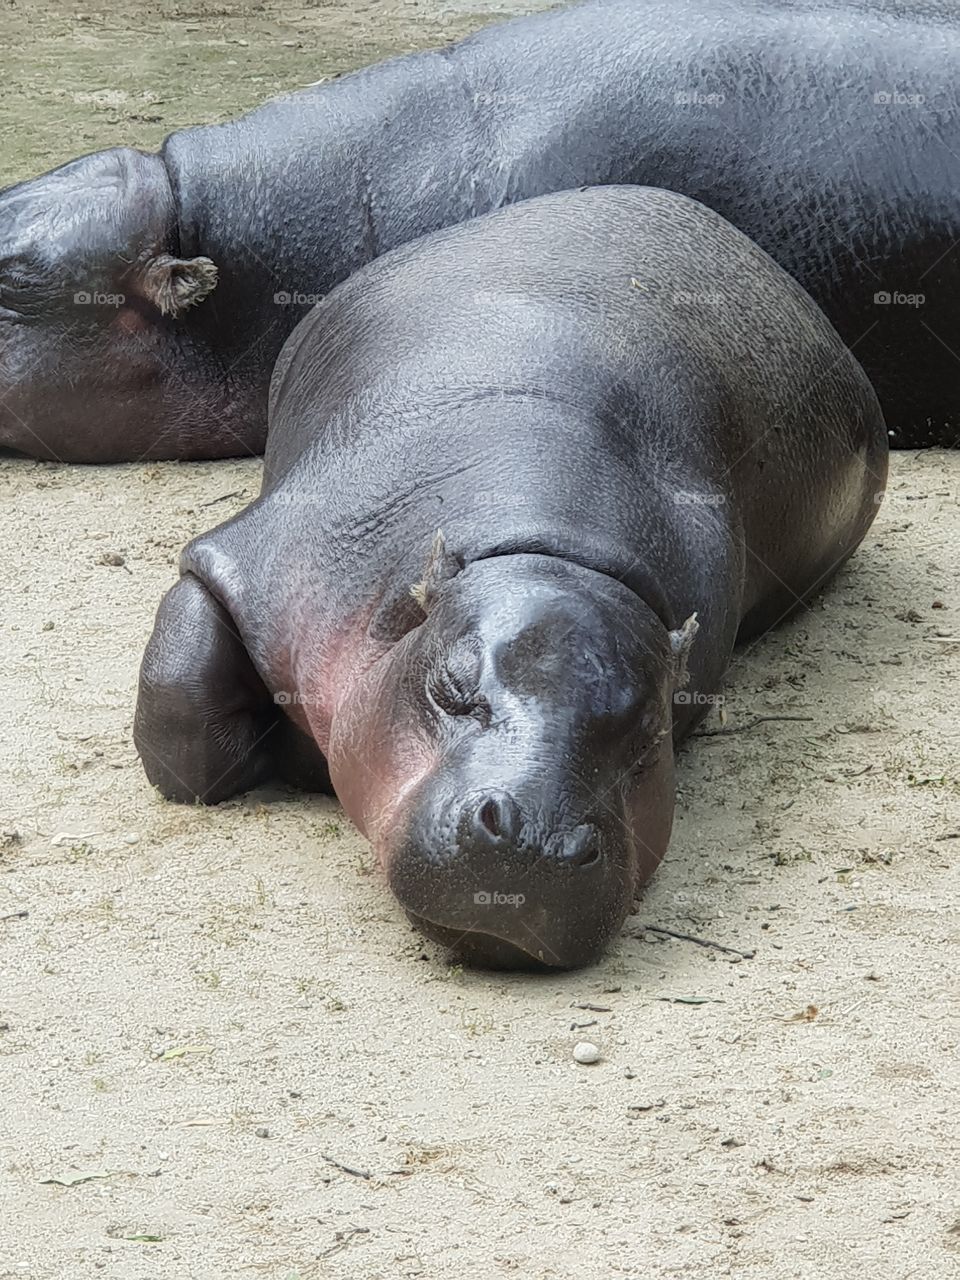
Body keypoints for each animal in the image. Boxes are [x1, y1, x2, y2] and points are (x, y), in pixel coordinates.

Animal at [133, 185, 888, 969]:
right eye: (450, 683)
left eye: (654, 732)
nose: (537, 840)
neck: (551, 549)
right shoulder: (258, 563)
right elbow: (182, 715)